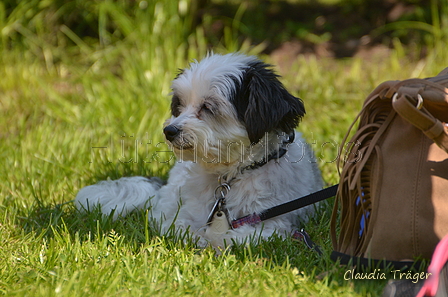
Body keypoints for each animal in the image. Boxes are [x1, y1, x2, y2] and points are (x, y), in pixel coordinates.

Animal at [77, 53, 322, 247]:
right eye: (180, 105)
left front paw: (213, 240)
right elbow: (180, 227)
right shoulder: (184, 216)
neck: (230, 175)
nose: (169, 130)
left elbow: (231, 237)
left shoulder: (273, 223)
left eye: (208, 107)